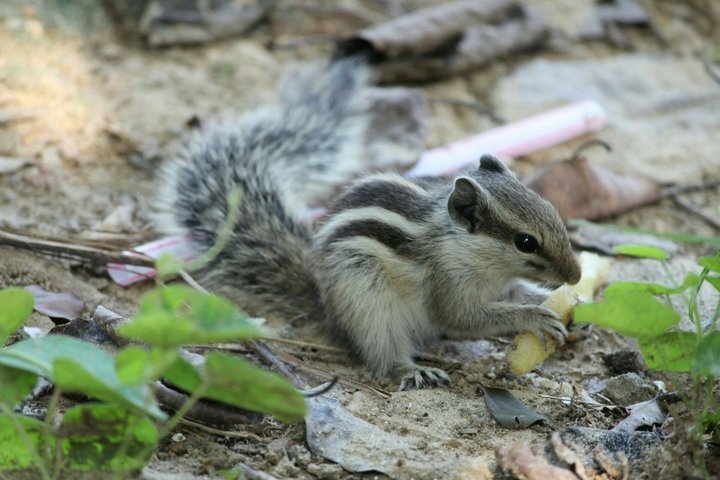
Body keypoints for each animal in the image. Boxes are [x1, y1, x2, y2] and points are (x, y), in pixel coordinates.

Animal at [157, 59, 582, 390]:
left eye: (551, 209)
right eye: (526, 242)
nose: (577, 275)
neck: (467, 250)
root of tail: (324, 301)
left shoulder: (501, 283)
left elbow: (518, 292)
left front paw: (562, 304)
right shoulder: (448, 284)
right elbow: (463, 318)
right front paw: (533, 316)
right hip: (367, 301)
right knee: (382, 353)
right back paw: (413, 371)